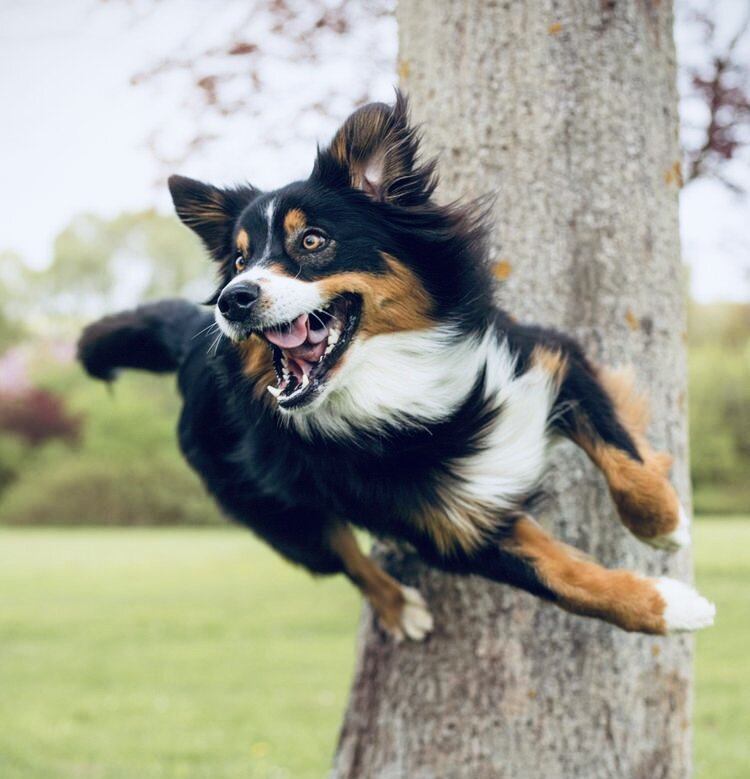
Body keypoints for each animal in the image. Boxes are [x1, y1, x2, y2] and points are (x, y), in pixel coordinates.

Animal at [78, 93, 716, 640]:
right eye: (238, 259)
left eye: (312, 241)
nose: (232, 300)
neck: (394, 377)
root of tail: (188, 342)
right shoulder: (446, 527)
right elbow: (562, 581)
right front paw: (669, 608)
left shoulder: (544, 357)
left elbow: (626, 461)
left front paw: (667, 525)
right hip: (275, 511)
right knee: (343, 557)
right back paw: (398, 607)